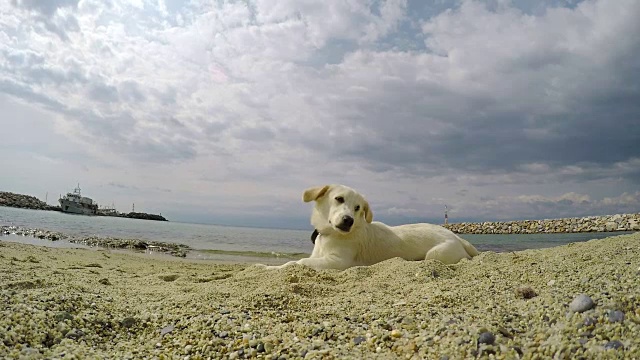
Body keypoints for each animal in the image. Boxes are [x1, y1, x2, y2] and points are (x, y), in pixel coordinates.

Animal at [262, 184, 480, 268]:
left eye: (358, 208)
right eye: (339, 199)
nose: (348, 220)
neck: (330, 235)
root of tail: (458, 237)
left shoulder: (338, 262)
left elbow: (297, 262)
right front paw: (265, 266)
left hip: (436, 254)